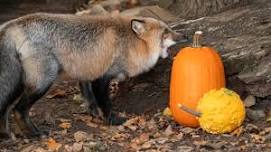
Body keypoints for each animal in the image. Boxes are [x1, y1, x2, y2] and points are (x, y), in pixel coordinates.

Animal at [0, 13, 187, 138]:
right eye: (165, 32)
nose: (184, 36)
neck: (128, 43)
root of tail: (13, 23)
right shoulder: (102, 77)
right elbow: (106, 103)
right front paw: (112, 120)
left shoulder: (88, 72)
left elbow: (89, 98)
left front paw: (94, 114)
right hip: (43, 81)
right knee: (18, 110)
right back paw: (34, 134)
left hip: (18, 84)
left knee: (5, 108)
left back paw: (7, 135)